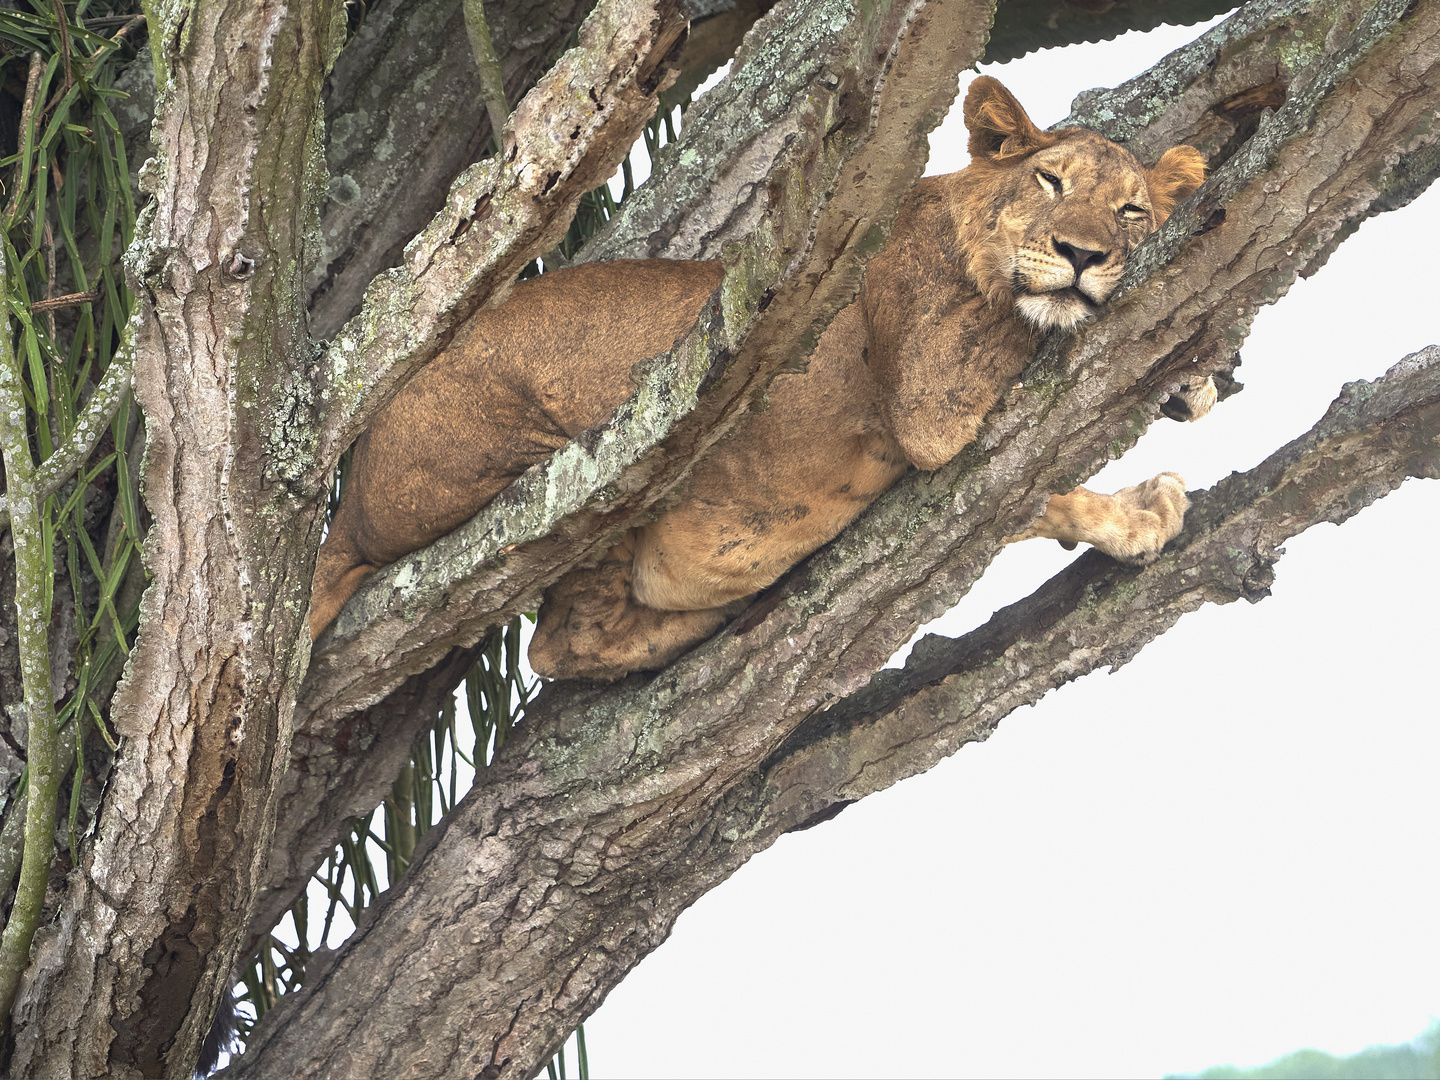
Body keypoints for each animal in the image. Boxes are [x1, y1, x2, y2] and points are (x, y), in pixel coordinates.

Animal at [309, 80, 1209, 679]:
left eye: (1132, 212)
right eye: (1050, 182)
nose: (1083, 255)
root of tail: (344, 508)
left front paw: (1175, 416)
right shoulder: (929, 403)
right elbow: (1029, 425)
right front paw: (1146, 498)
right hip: (579, 467)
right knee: (561, 645)